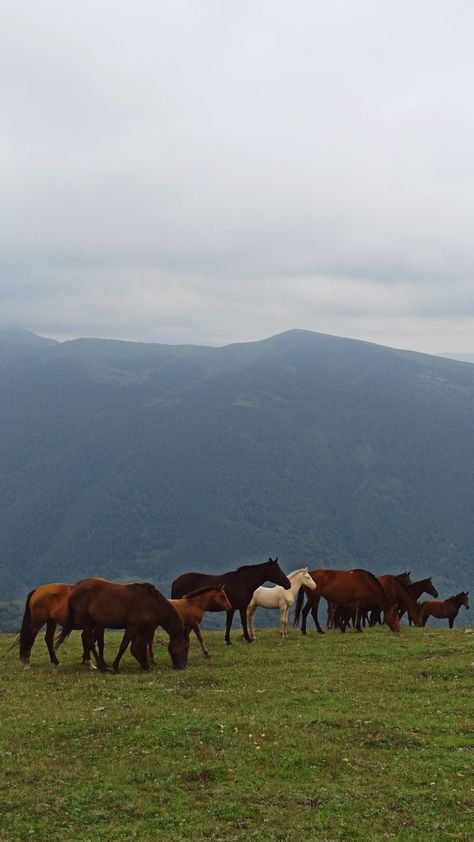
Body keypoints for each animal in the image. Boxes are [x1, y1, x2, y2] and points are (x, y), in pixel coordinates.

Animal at [55, 576, 189, 668]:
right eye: (186, 647)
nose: (182, 666)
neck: (153, 604)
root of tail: (74, 587)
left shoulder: (145, 628)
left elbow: (142, 644)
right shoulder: (132, 626)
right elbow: (124, 646)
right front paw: (116, 667)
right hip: (88, 622)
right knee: (90, 641)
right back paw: (101, 666)